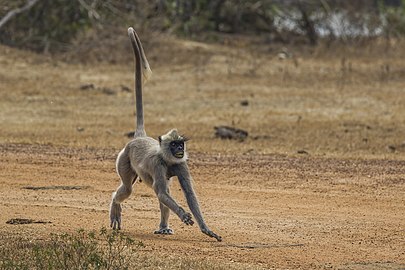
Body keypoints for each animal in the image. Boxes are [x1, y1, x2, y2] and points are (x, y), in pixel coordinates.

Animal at [109, 28, 221, 243]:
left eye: (181, 144)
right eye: (174, 145)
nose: (179, 149)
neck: (167, 158)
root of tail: (139, 137)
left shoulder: (181, 164)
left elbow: (189, 195)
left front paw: (206, 228)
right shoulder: (157, 164)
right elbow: (161, 193)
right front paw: (184, 215)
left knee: (164, 191)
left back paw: (163, 227)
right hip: (124, 159)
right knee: (128, 188)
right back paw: (115, 205)